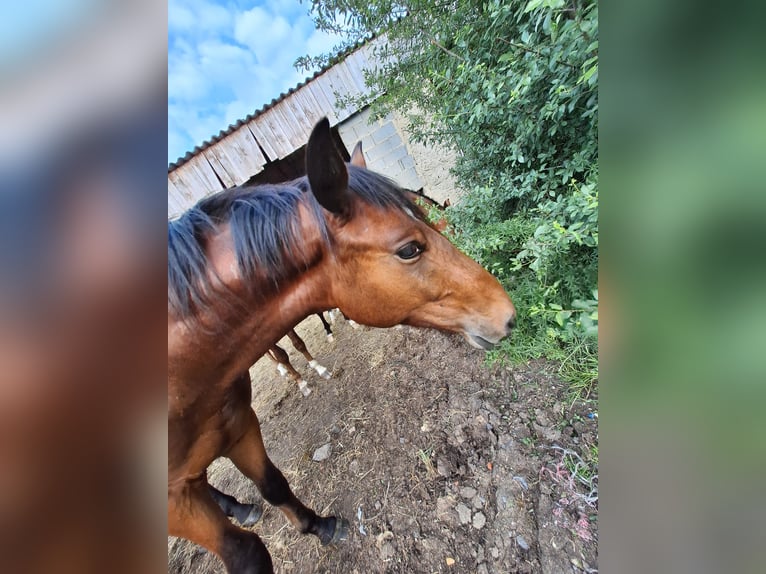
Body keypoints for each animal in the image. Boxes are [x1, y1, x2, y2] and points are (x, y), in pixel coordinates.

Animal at [168, 118, 516, 574]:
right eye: (409, 249)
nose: (506, 314)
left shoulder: (240, 425)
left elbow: (275, 486)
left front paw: (320, 526)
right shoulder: (174, 501)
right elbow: (245, 552)